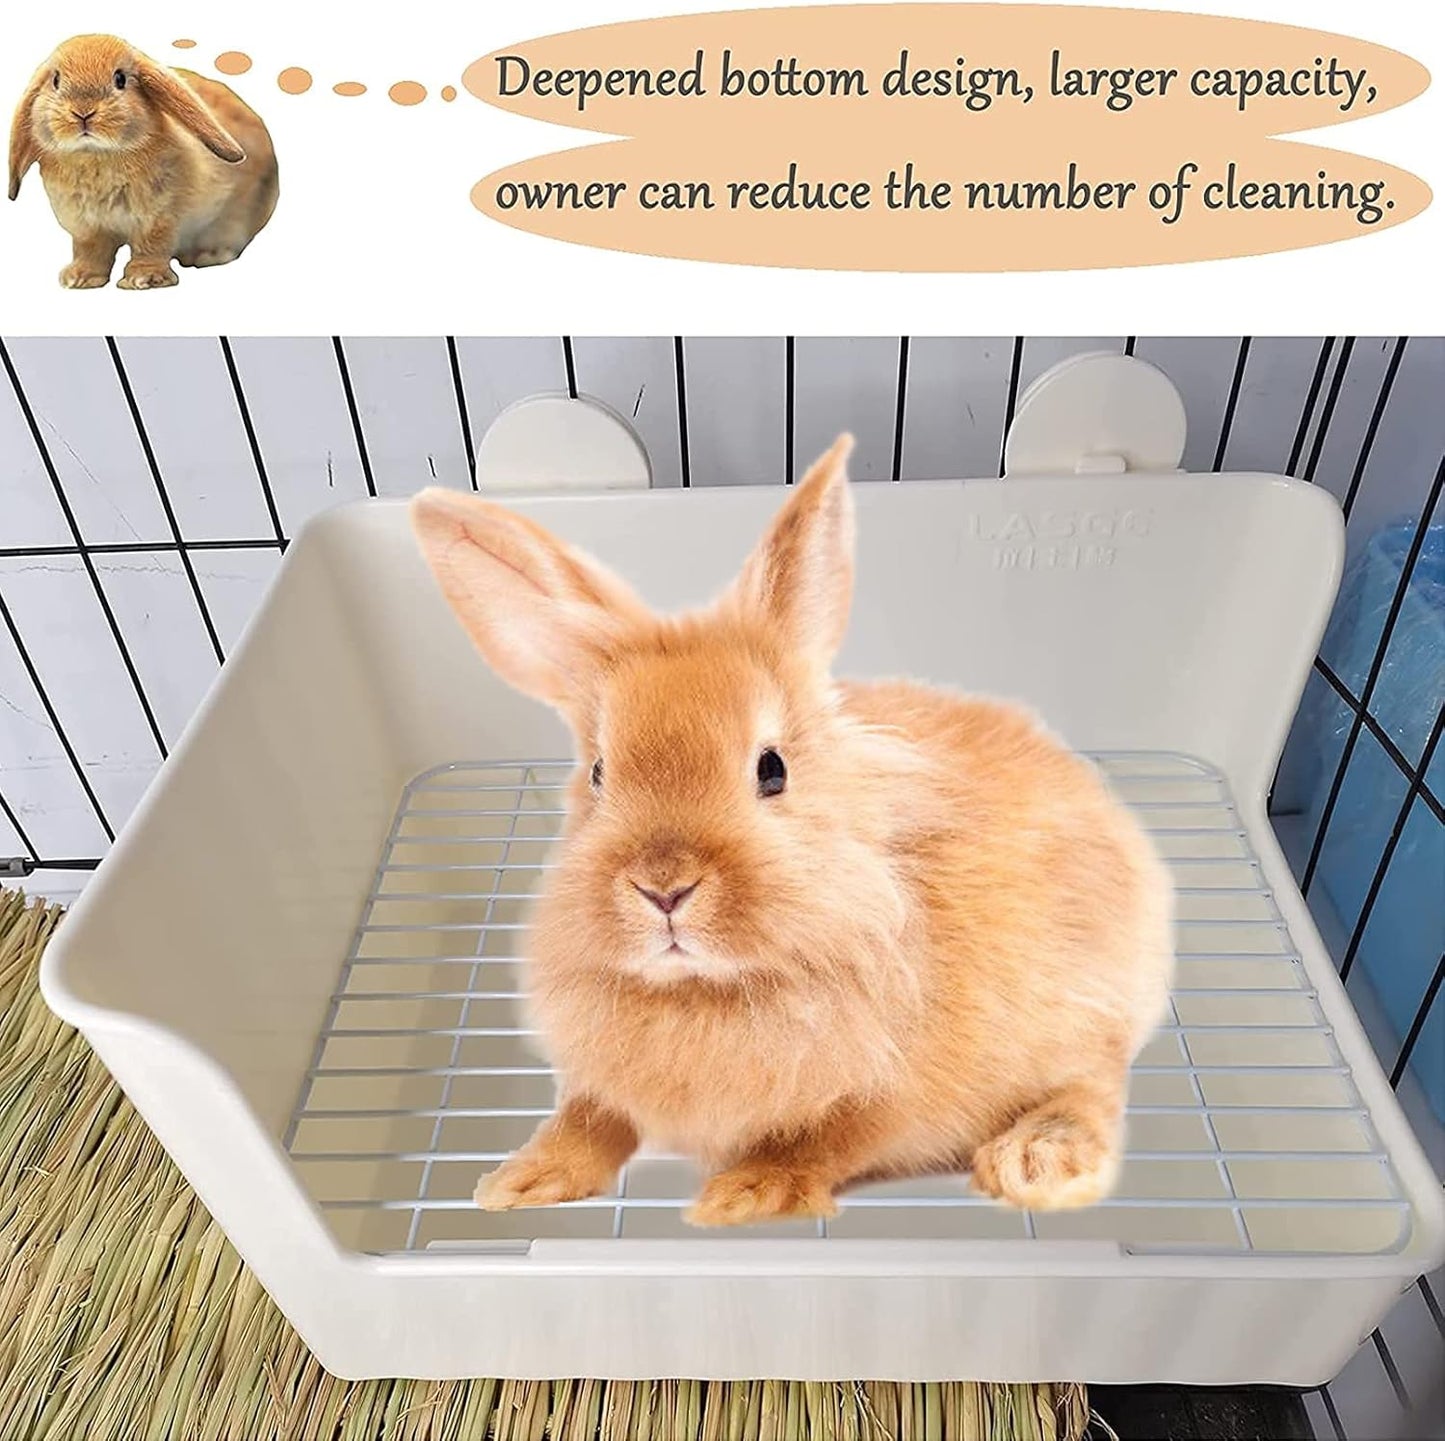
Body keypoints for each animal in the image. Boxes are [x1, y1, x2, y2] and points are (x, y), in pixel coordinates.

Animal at [8, 34, 278, 289]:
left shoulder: (159, 217)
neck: (97, 155)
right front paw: (79, 278)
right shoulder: (87, 227)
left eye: (120, 79)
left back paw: (208, 254)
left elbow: (151, 246)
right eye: (56, 80)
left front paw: (143, 278)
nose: (83, 111)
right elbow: (90, 251)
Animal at [409, 435, 1174, 1227]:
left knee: (1096, 1079)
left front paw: (745, 1194)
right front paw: (521, 1181)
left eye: (771, 769)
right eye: (597, 774)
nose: (664, 887)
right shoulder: (602, 1080)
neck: (706, 992)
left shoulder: (887, 1099)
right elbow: (589, 1119)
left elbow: (824, 1140)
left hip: (1087, 1008)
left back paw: (1039, 1160)